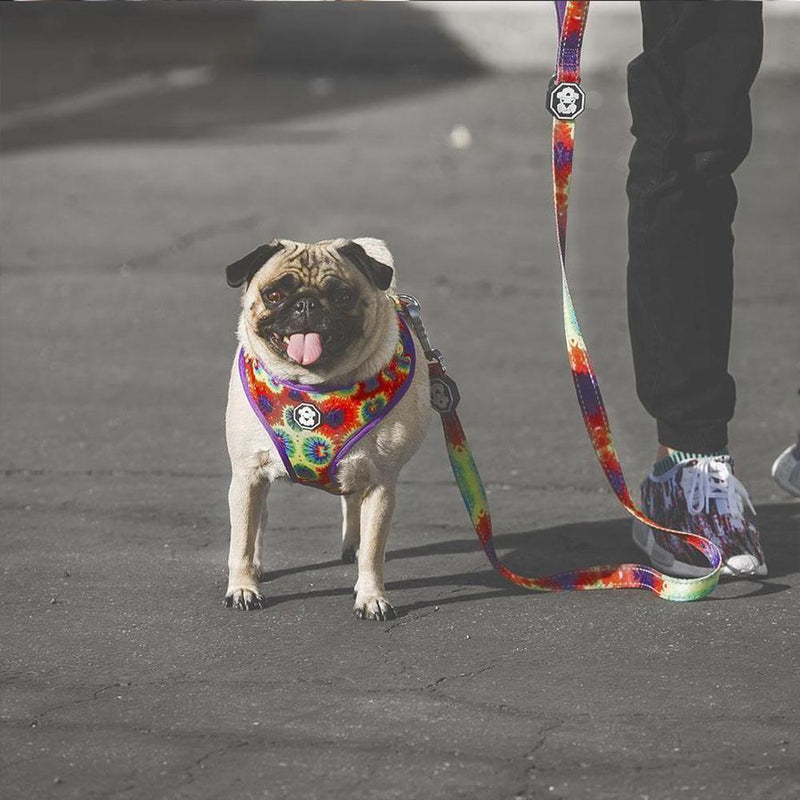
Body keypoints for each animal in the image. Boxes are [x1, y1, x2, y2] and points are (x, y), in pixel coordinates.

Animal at [222, 238, 432, 620]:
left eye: (342, 296)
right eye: (274, 295)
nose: (306, 303)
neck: (316, 386)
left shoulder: (381, 484)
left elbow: (374, 551)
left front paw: (371, 596)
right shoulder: (247, 475)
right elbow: (241, 540)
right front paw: (243, 588)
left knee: (352, 504)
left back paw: (353, 545)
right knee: (258, 519)